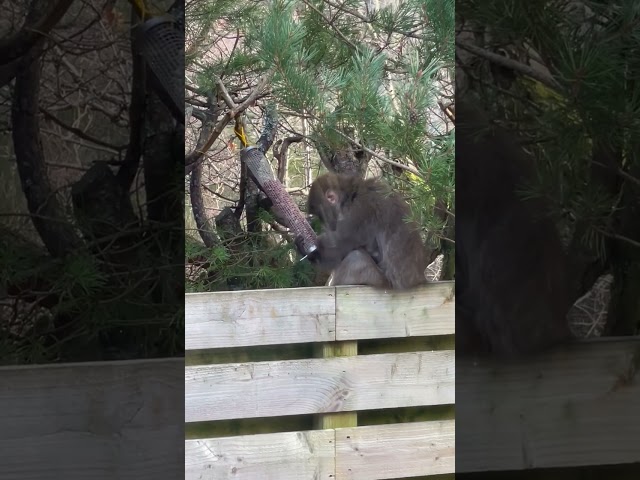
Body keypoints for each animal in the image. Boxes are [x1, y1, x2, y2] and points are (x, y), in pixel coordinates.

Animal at [296, 174, 428, 290]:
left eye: (322, 216)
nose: (328, 224)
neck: (351, 197)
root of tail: (419, 280)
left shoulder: (359, 212)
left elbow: (337, 248)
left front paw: (309, 253)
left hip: (379, 280)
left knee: (356, 258)